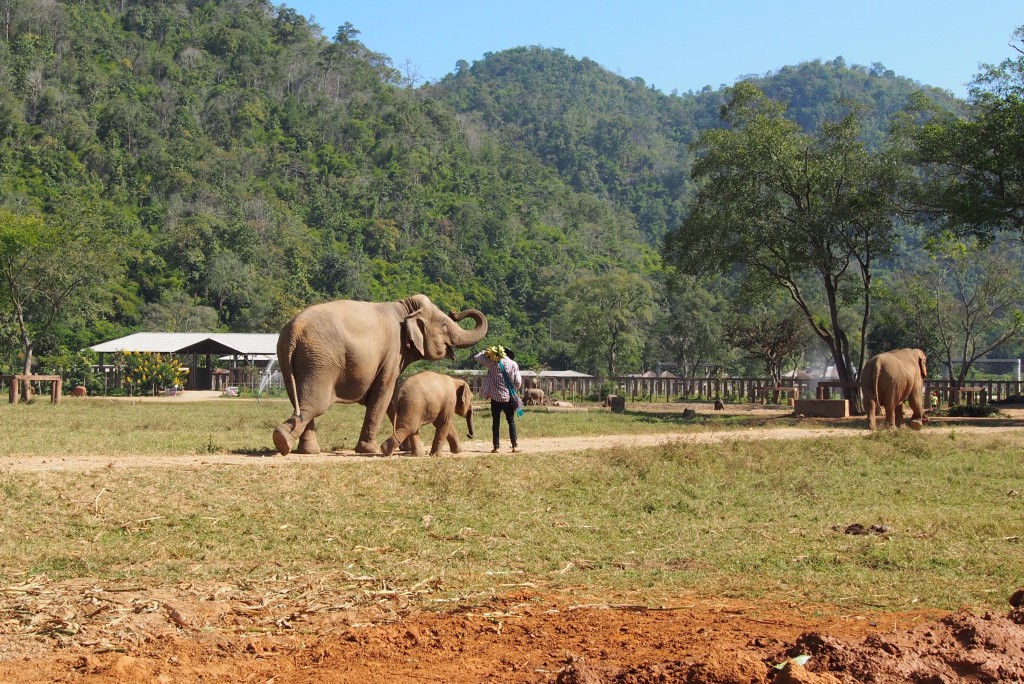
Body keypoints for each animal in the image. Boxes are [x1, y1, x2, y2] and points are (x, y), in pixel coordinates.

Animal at [272, 294, 487, 454]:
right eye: (444, 325)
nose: (455, 311)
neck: (403, 306)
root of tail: (294, 329)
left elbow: (392, 398)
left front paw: (402, 447)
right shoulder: (392, 352)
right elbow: (383, 393)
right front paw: (370, 449)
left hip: (291, 361)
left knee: (300, 400)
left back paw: (305, 449)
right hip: (320, 362)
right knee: (315, 403)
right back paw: (283, 440)